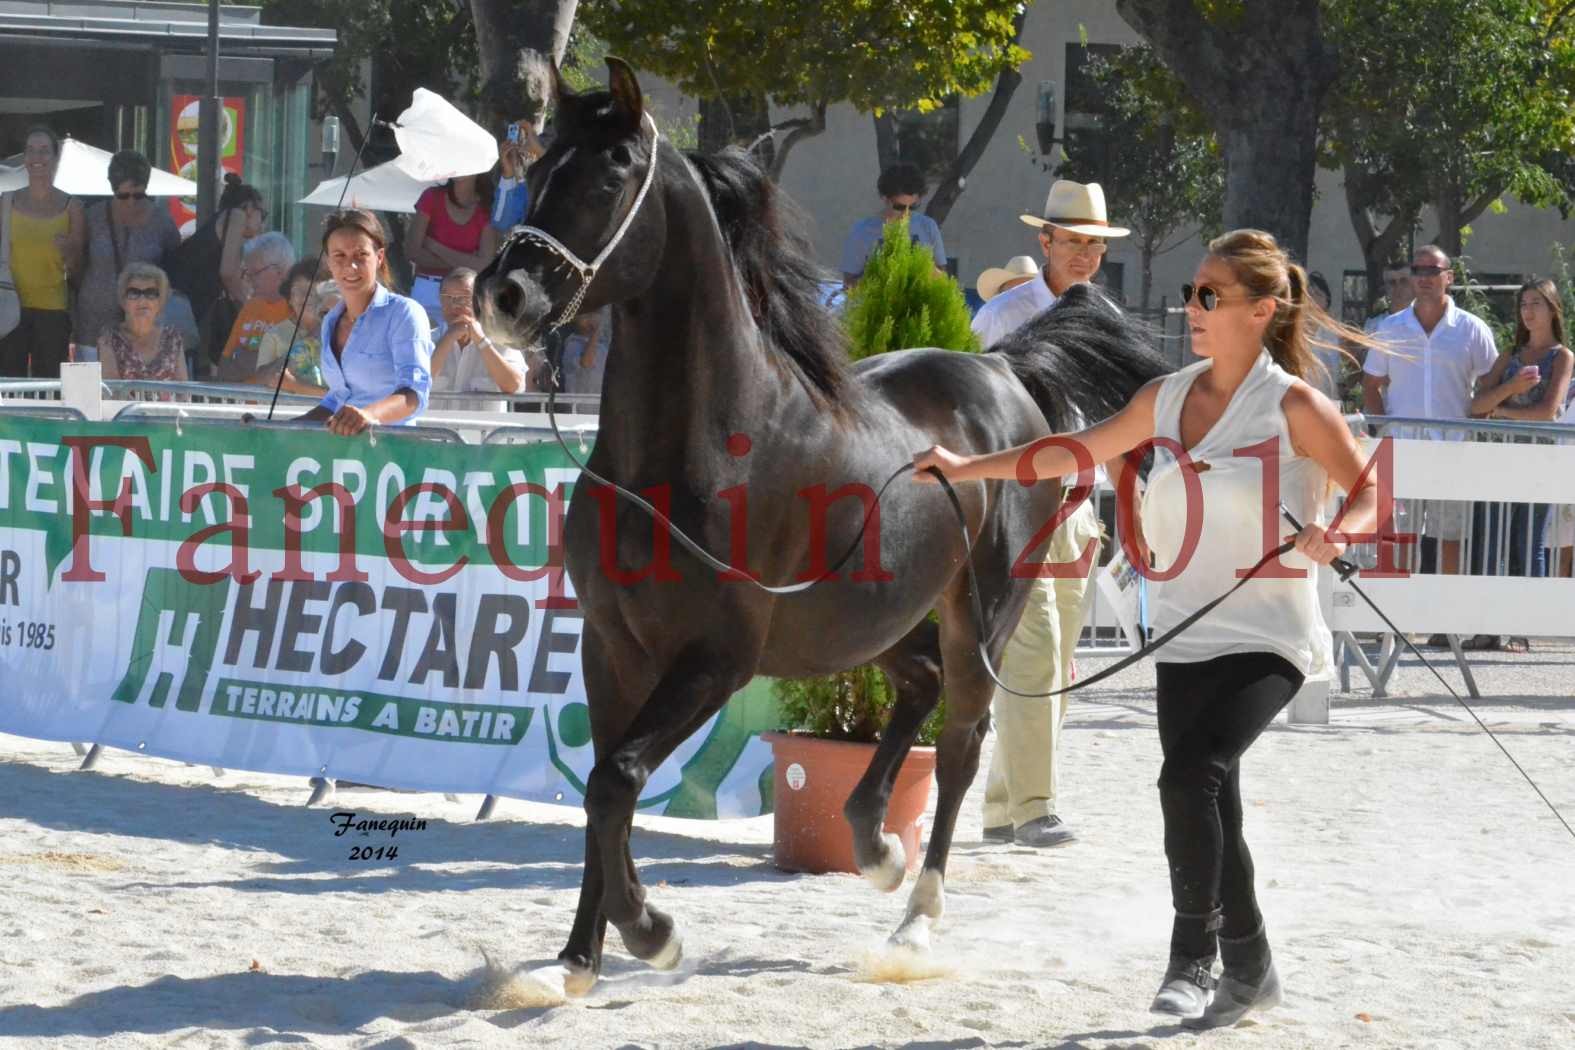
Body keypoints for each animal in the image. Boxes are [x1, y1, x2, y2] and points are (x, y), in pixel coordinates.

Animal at [475, 61, 1171, 1001]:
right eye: (543, 163)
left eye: (612, 172)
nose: (503, 296)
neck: (702, 446)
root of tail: (1002, 370)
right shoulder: (611, 645)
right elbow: (598, 787)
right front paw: (576, 960)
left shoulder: (716, 659)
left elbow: (616, 781)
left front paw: (651, 933)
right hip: (866, 621)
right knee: (915, 688)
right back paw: (872, 842)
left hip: (981, 616)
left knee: (961, 742)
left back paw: (914, 919)